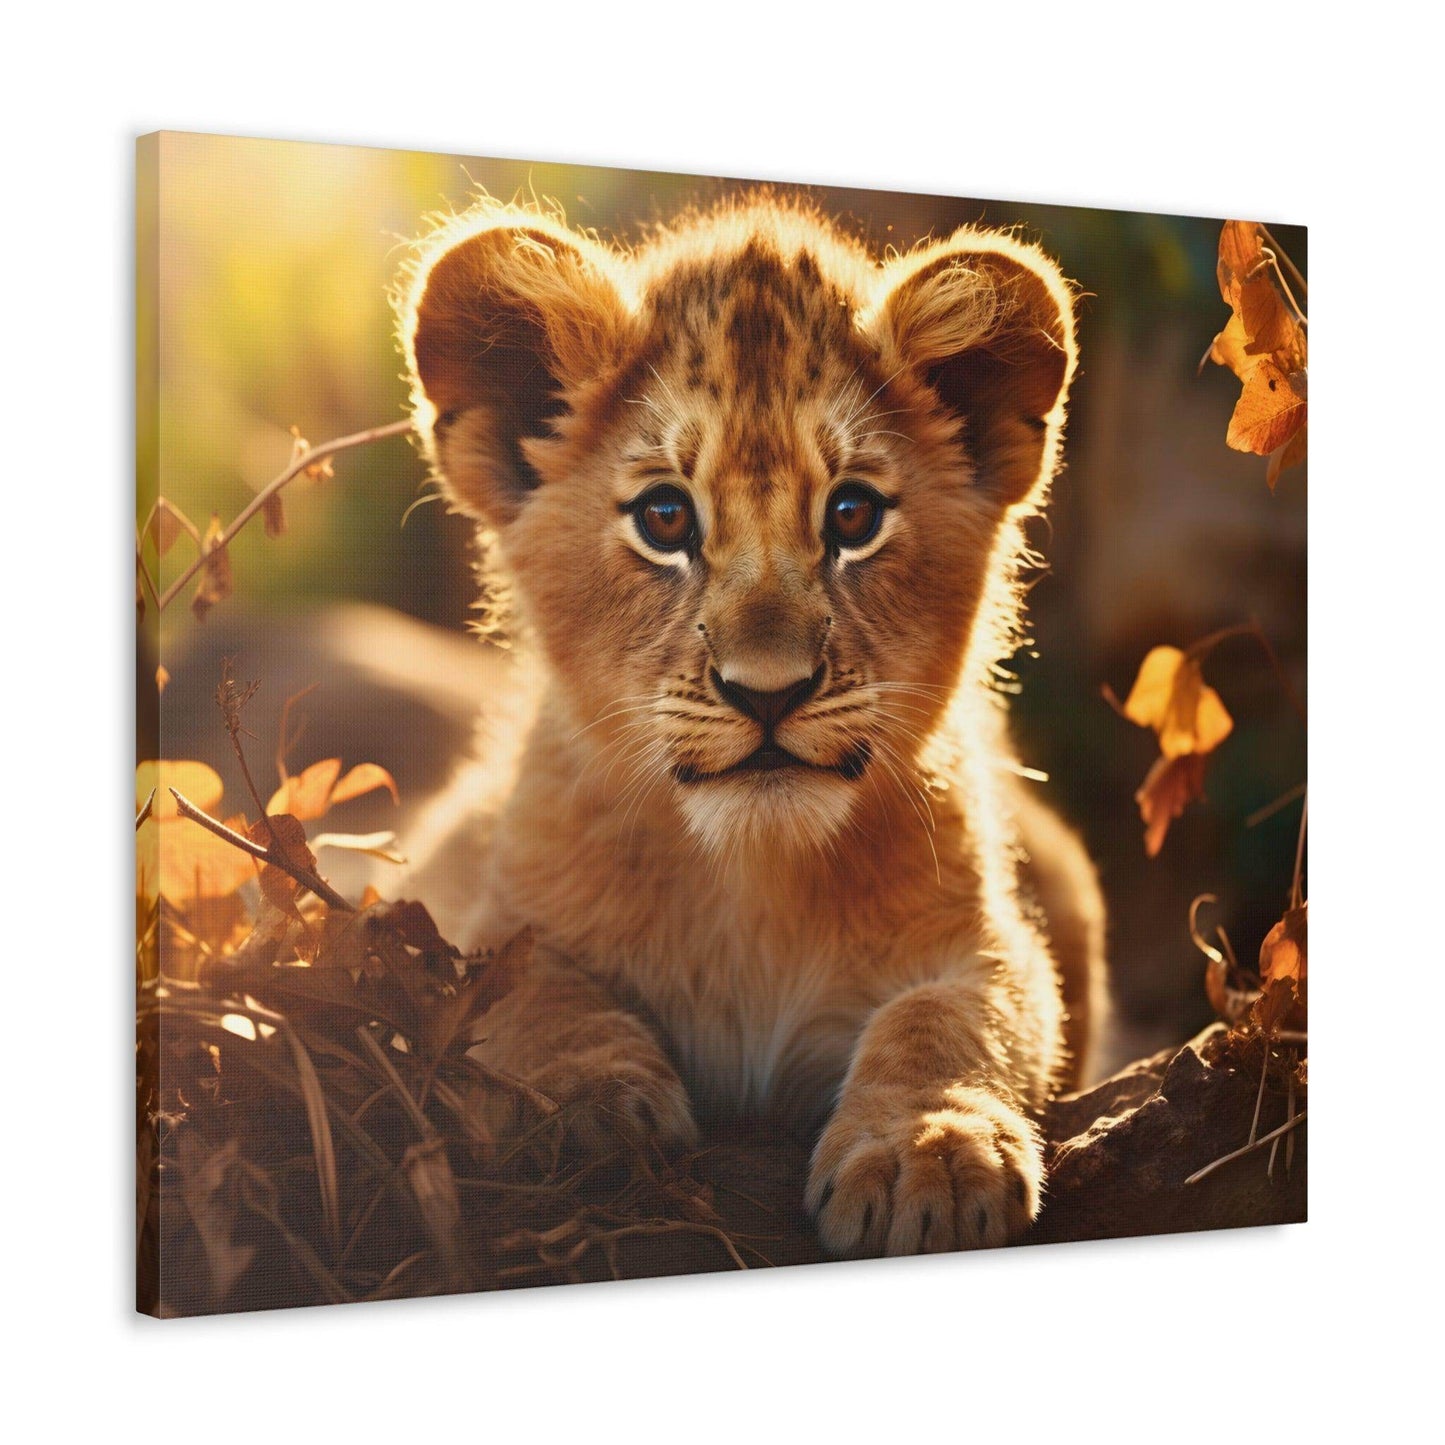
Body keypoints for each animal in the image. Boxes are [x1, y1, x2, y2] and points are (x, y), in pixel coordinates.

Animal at [395, 193, 1107, 1256]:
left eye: (852, 516)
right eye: (664, 518)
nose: (767, 691)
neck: (750, 885)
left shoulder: (985, 936)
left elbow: (952, 1017)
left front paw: (927, 1150)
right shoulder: (477, 902)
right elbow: (527, 989)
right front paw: (580, 1106)